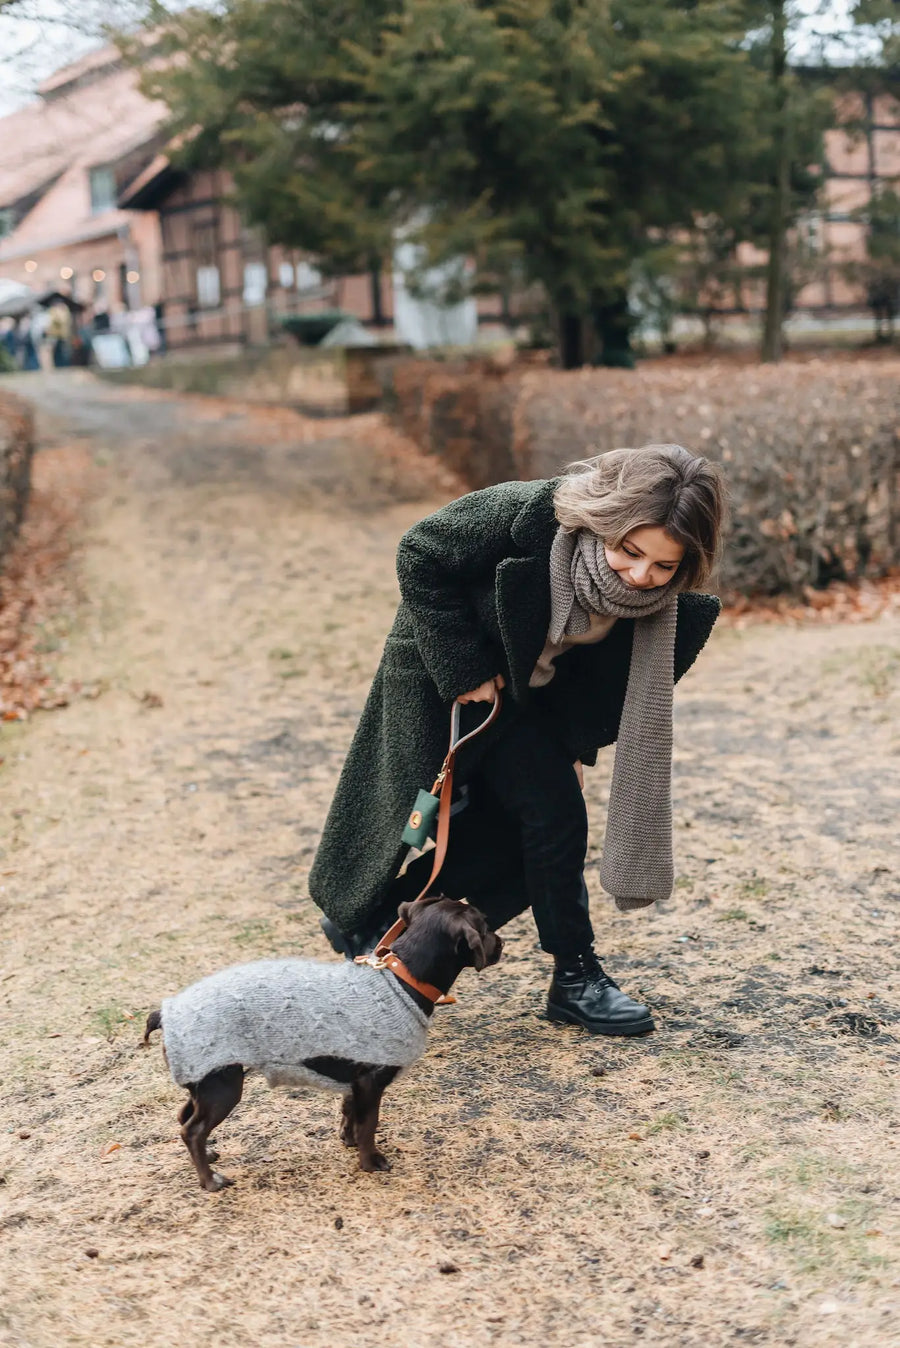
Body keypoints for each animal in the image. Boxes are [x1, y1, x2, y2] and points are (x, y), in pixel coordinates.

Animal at [144, 895, 503, 1191]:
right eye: (485, 927)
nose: (501, 943)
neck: (402, 981)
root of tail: (166, 1013)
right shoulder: (371, 1080)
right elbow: (369, 1124)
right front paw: (370, 1161)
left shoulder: (355, 1080)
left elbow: (350, 1113)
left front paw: (348, 1139)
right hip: (222, 1086)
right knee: (192, 1130)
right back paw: (210, 1180)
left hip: (204, 1084)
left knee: (184, 1117)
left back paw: (209, 1155)